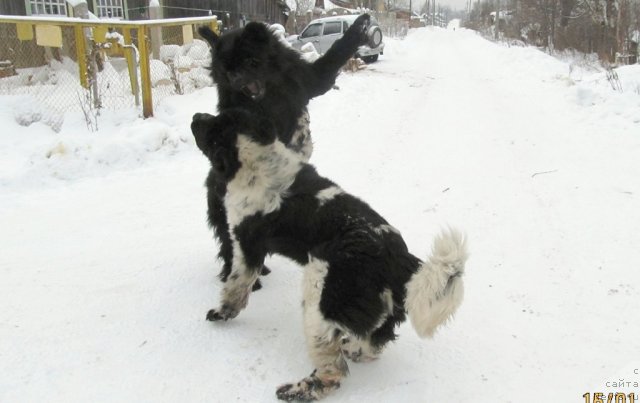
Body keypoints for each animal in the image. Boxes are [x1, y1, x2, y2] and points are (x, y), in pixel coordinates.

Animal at [192, 109, 468, 400]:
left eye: (213, 127)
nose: (196, 115)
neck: (258, 156)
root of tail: (398, 259)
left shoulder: (247, 246)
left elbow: (236, 285)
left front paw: (222, 313)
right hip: (374, 308)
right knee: (374, 342)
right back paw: (351, 348)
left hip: (320, 297)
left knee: (334, 370)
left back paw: (298, 390)